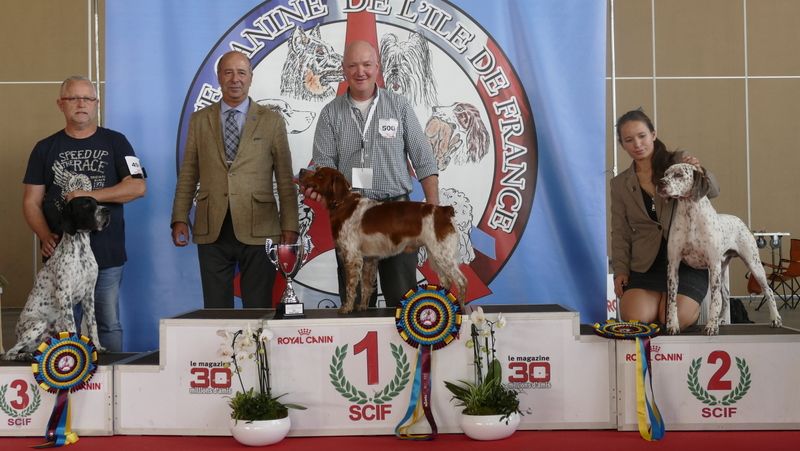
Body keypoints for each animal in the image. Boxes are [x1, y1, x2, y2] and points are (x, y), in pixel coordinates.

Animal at [3, 197, 110, 360]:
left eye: (97, 202)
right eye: (85, 205)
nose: (107, 211)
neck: (81, 250)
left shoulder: (89, 294)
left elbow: (93, 324)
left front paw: (98, 347)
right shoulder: (64, 294)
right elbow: (72, 325)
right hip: (39, 323)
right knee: (11, 352)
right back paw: (24, 356)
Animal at [296, 167, 466, 314]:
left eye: (320, 175)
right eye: (316, 169)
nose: (301, 171)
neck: (343, 204)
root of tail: (444, 210)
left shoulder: (352, 256)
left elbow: (351, 287)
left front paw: (346, 307)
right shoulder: (369, 259)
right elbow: (366, 286)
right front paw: (362, 307)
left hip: (443, 255)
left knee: (461, 281)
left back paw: (463, 309)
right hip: (435, 255)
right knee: (446, 281)